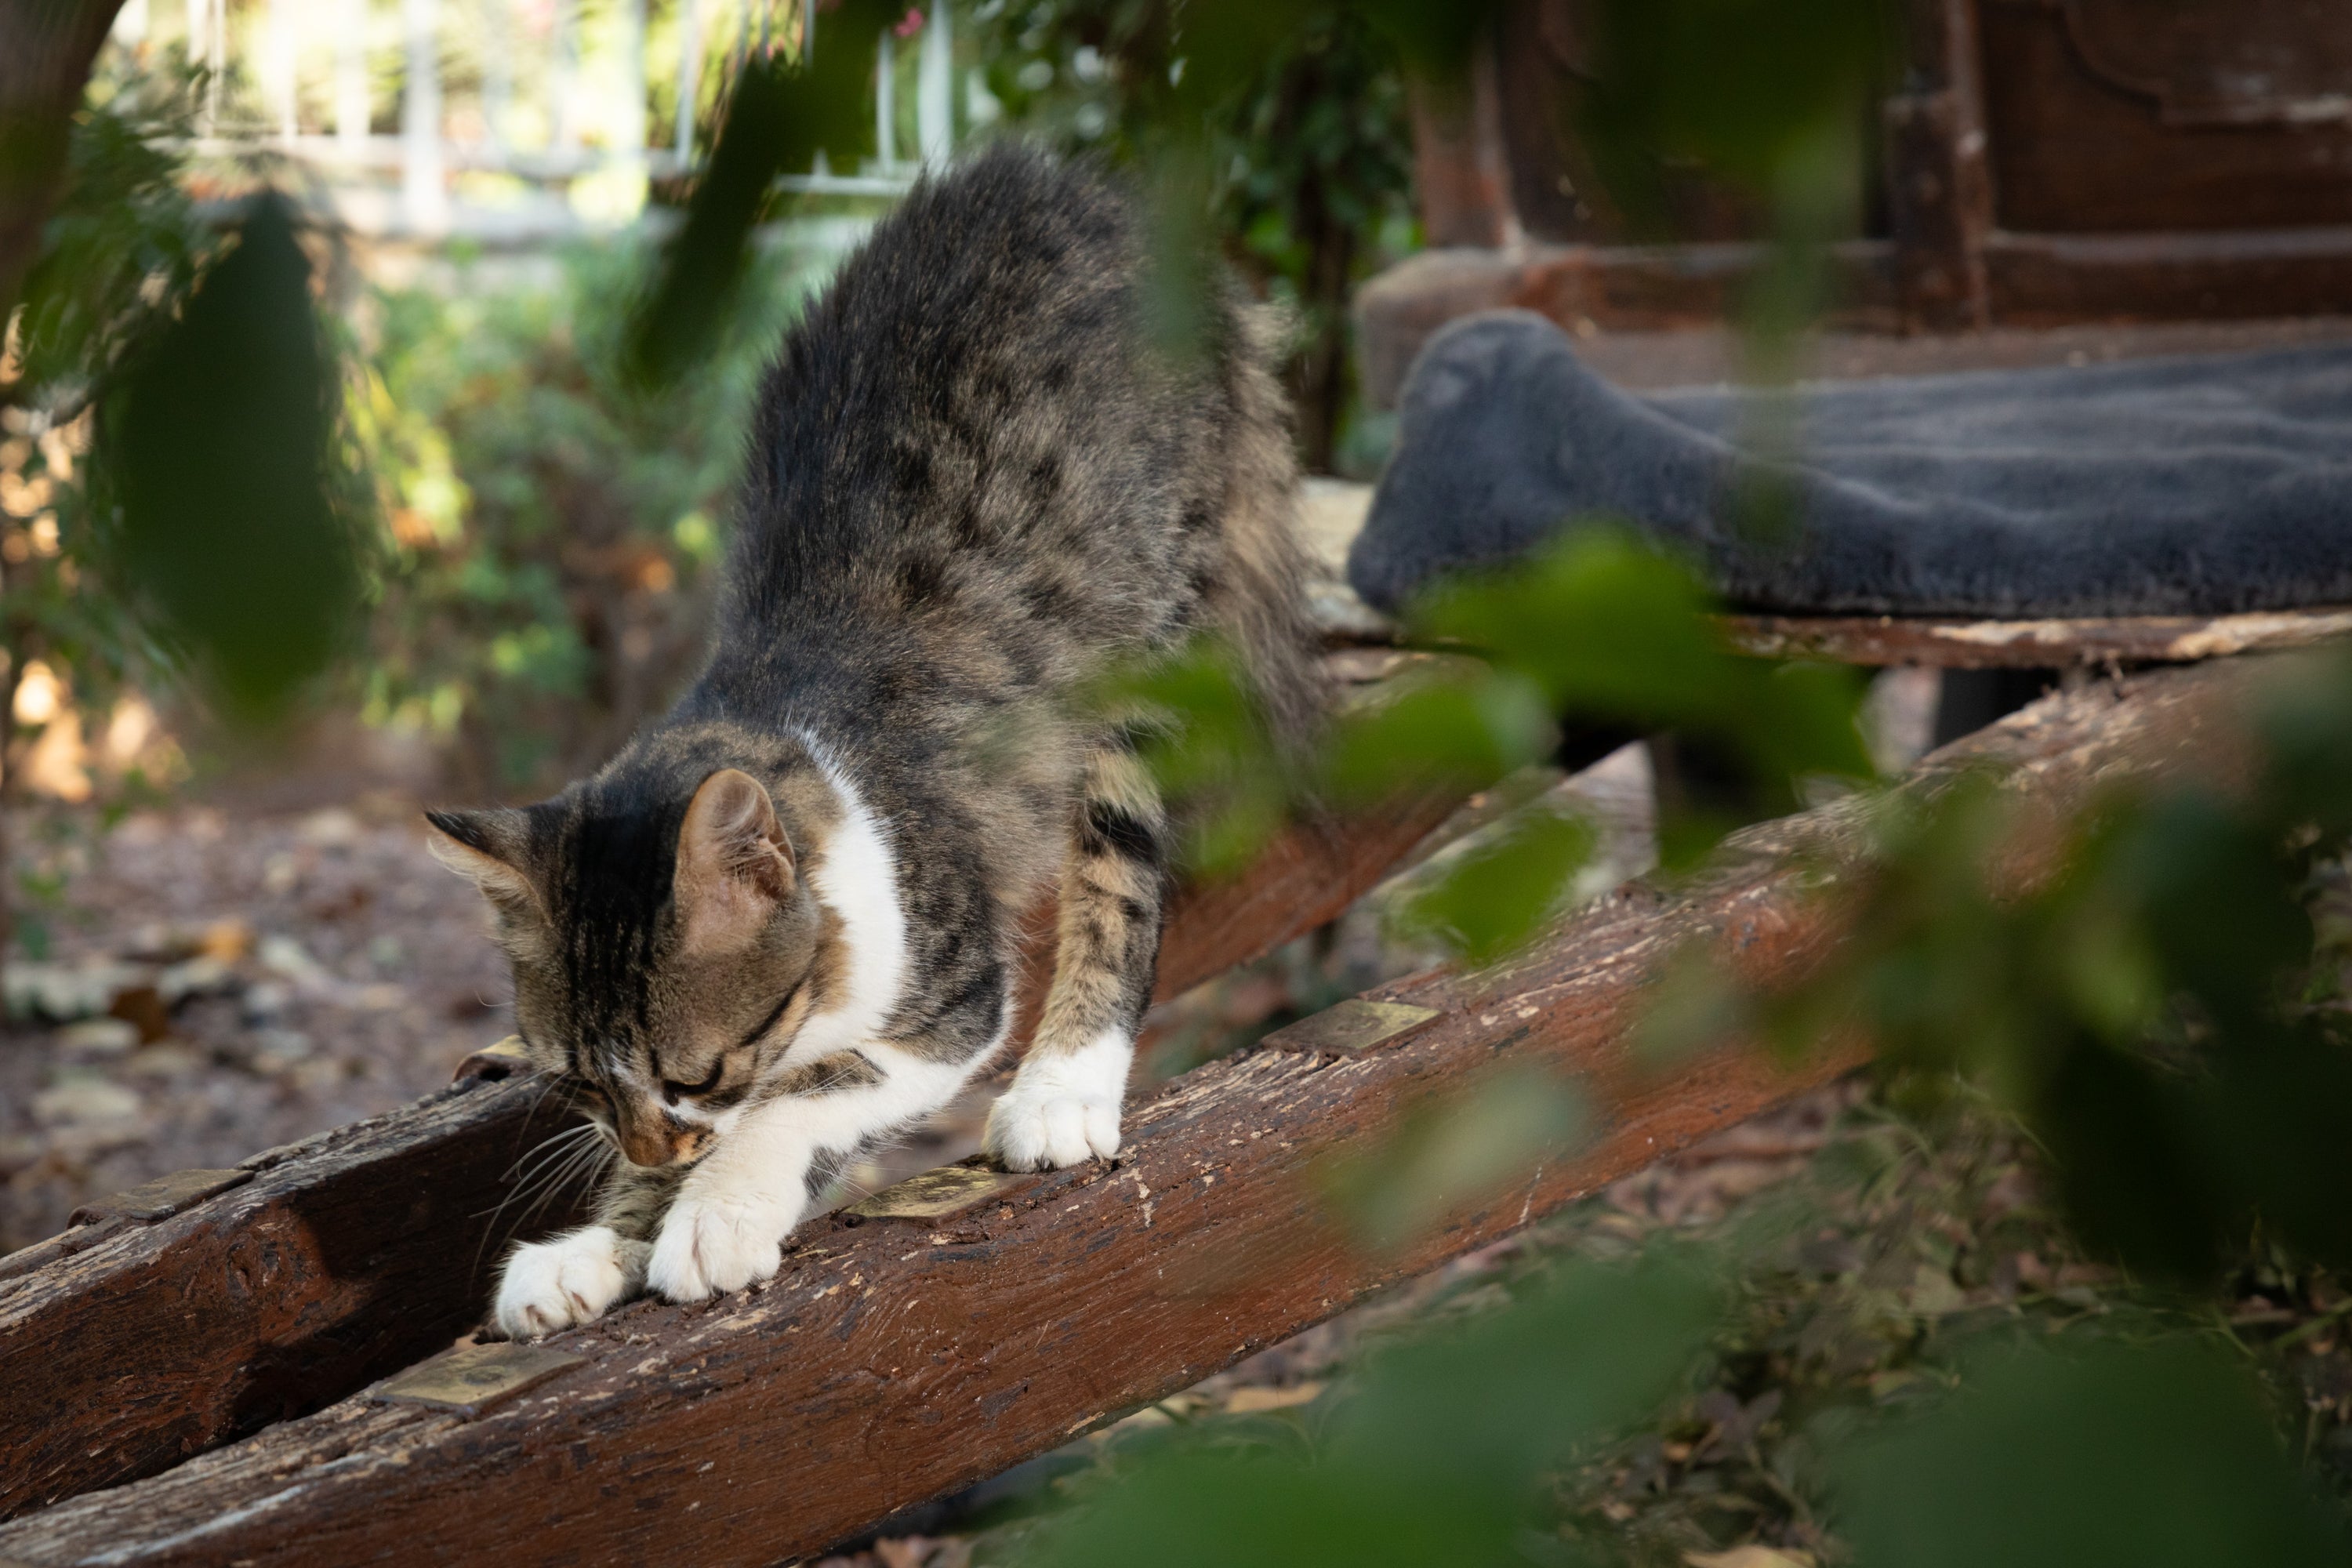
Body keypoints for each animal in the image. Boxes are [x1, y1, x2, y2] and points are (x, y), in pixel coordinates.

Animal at [428, 143, 1327, 1335]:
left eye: (698, 1073)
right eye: (579, 1084)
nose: (657, 1147)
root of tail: (1079, 184)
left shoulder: (950, 992)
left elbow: (812, 1092)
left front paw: (712, 1214)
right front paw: (599, 1242)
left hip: (1137, 632)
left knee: (1120, 876)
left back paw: (1066, 1085)